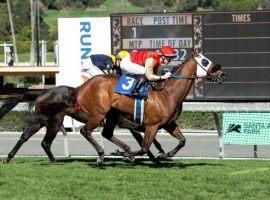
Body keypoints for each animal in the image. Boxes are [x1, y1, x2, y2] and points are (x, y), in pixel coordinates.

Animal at [0, 86, 165, 164]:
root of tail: (43, 93)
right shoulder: (126, 122)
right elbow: (145, 137)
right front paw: (156, 156)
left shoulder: (128, 123)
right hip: (54, 122)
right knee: (45, 142)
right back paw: (54, 161)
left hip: (42, 121)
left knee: (25, 136)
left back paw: (8, 158)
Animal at [77, 49, 227, 163]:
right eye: (205, 62)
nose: (223, 74)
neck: (167, 93)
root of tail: (82, 86)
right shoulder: (152, 125)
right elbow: (143, 148)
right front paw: (123, 153)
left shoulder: (169, 123)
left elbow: (182, 140)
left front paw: (165, 154)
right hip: (98, 114)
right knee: (85, 131)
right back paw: (102, 154)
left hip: (112, 115)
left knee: (106, 133)